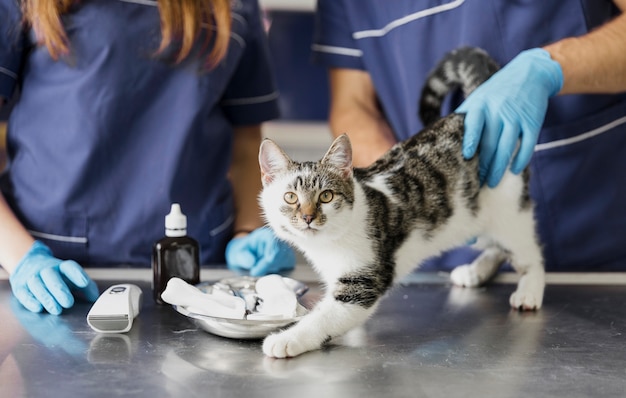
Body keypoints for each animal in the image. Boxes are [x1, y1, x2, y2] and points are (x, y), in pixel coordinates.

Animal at [256, 48, 544, 360]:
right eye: (291, 197)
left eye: (326, 196)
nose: (308, 217)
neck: (329, 242)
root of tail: (472, 114)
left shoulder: (364, 282)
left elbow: (325, 317)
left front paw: (287, 339)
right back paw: (476, 271)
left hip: (508, 208)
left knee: (528, 252)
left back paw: (530, 287)